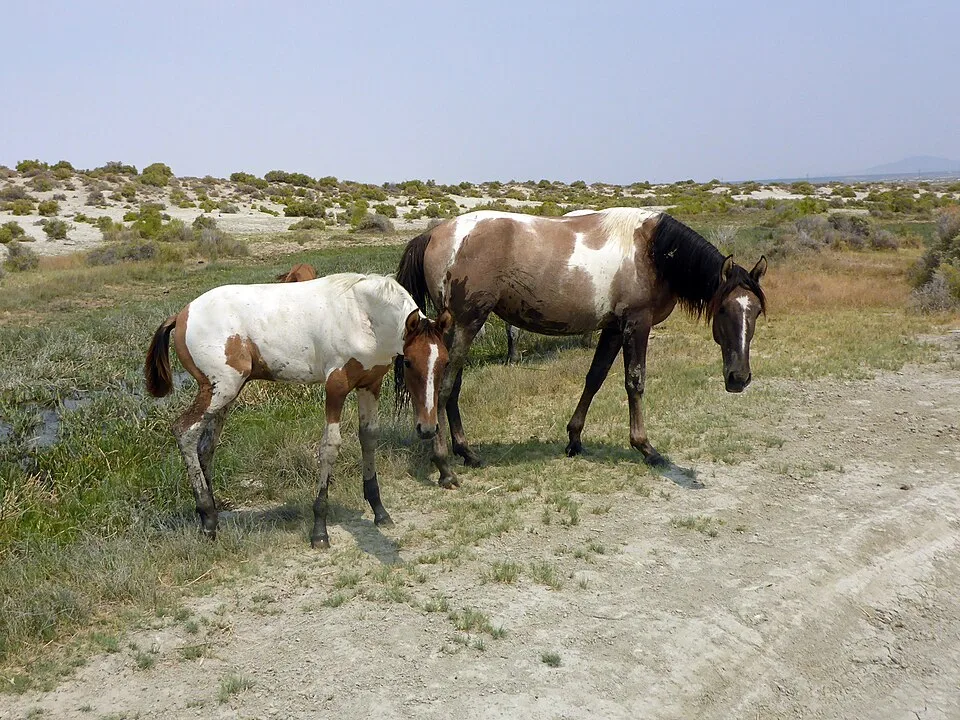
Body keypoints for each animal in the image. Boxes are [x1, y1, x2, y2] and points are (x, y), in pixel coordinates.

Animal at [144, 272, 452, 548]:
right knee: (185, 431)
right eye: (409, 362)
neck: (363, 314)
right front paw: (319, 531)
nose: (428, 428)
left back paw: (212, 516)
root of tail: (182, 314)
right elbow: (330, 447)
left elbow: (369, 437)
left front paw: (379, 510)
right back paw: (207, 519)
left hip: (224, 394)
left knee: (205, 445)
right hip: (220, 389)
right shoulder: (336, 386)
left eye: (445, 362)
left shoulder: (370, 384)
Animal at [395, 207, 767, 488]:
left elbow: (595, 377)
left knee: (452, 388)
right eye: (723, 310)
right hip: (465, 325)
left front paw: (574, 439)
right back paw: (445, 467)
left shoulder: (613, 329)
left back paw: (467, 453)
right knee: (443, 388)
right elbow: (635, 382)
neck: (651, 251)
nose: (739, 378)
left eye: (756, 311)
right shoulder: (636, 325)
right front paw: (646, 448)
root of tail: (435, 234)